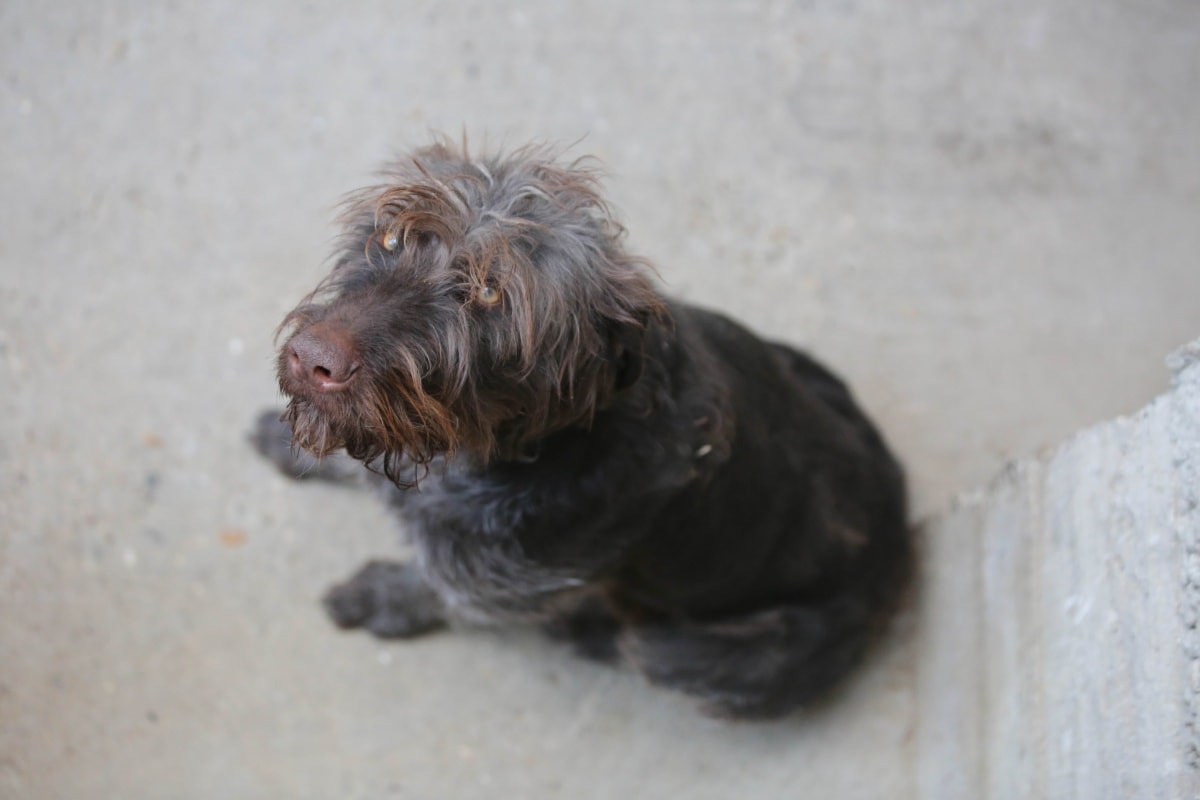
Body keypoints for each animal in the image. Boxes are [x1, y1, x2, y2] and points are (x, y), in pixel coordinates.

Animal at [253, 140, 907, 724]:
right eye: (390, 237)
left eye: (491, 294)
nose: (313, 359)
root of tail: (896, 526)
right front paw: (299, 450)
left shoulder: (503, 579)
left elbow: (434, 586)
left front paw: (382, 597)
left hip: (718, 656)